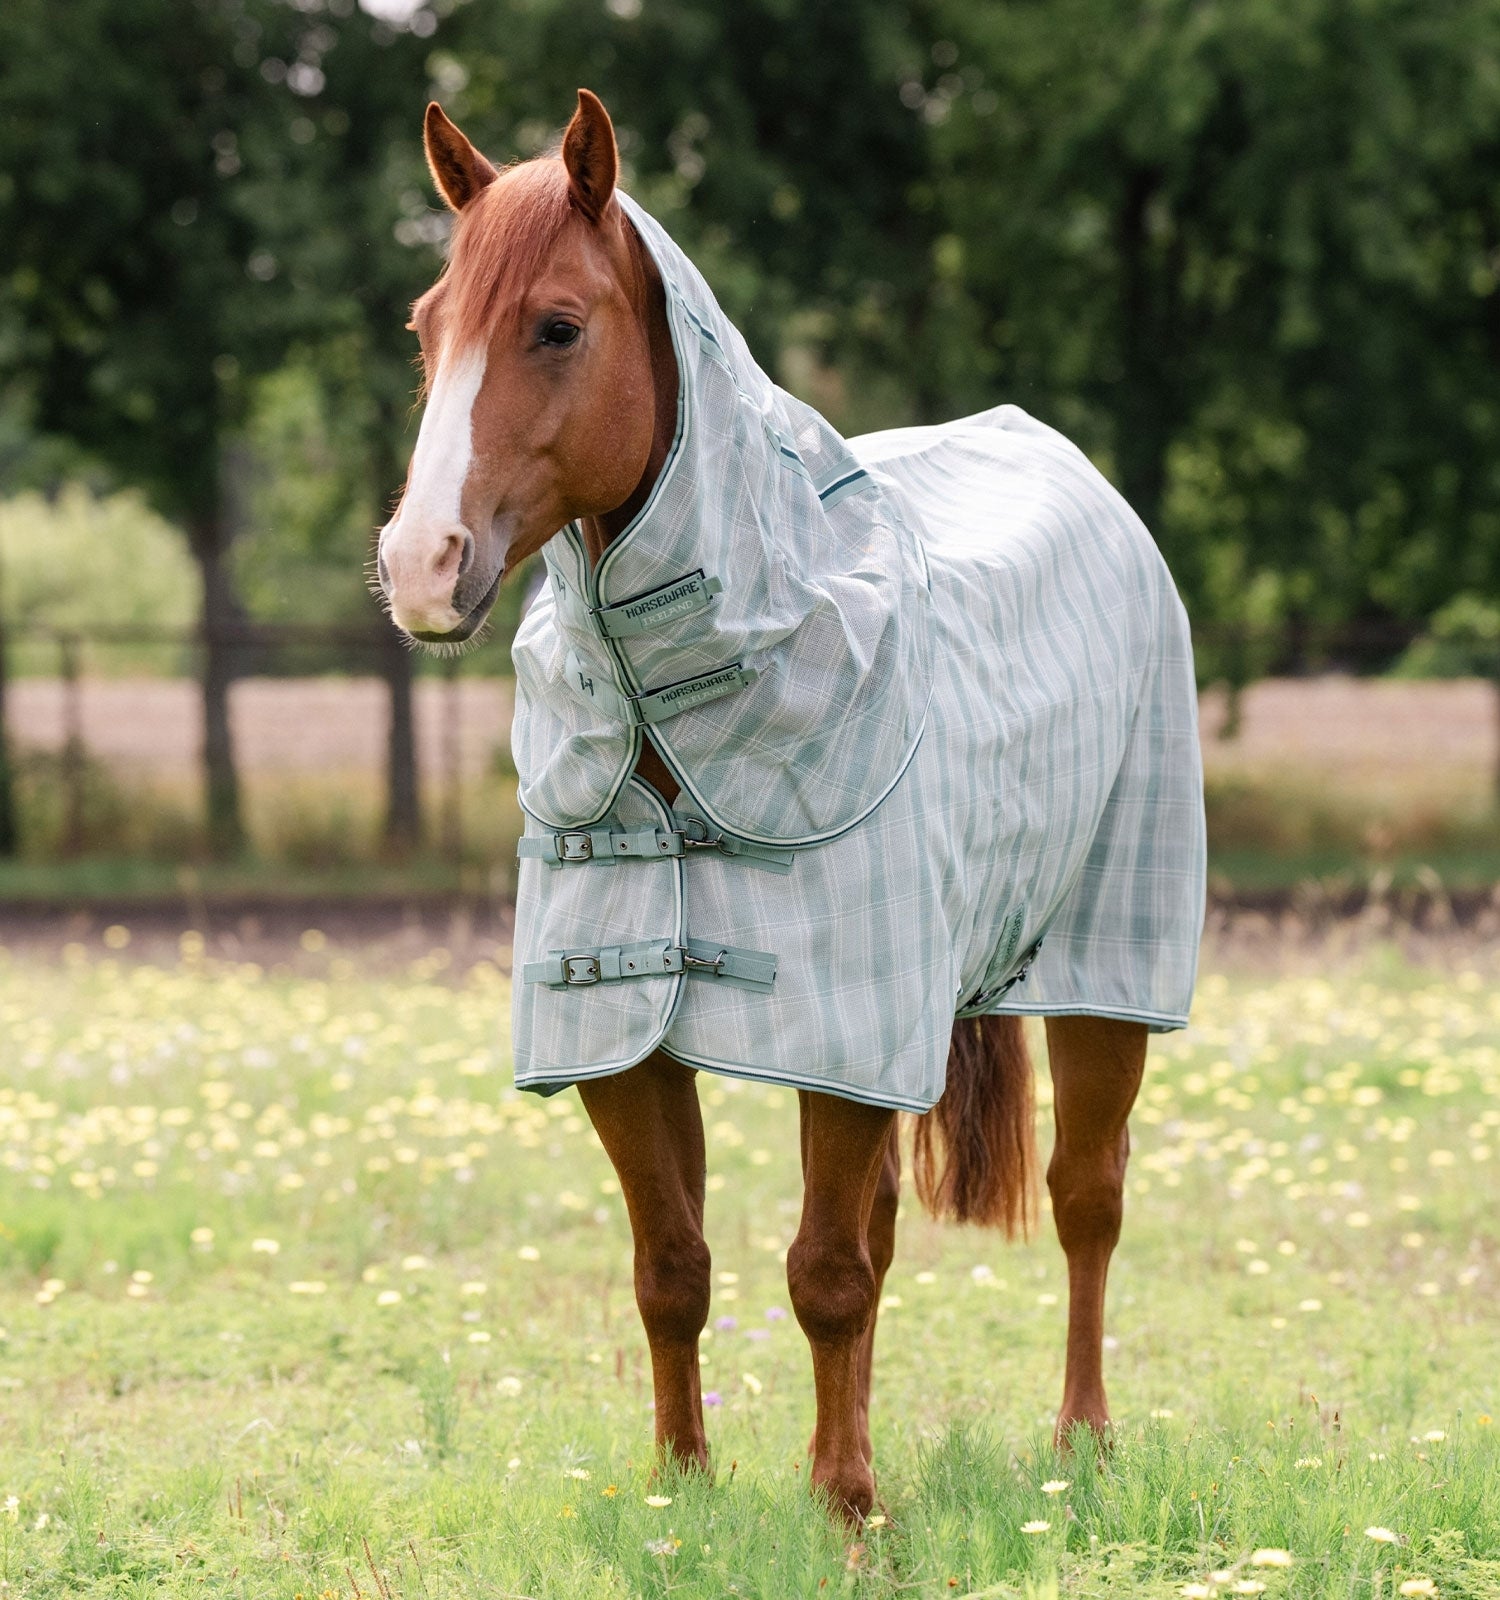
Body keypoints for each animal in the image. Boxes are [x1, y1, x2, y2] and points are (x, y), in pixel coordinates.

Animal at [376, 89, 1205, 1525]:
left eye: (557, 325)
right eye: (427, 328)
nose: (422, 566)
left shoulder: (844, 1038)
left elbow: (822, 1273)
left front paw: (845, 1511)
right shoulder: (632, 1037)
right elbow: (676, 1265)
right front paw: (686, 1489)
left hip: (1108, 973)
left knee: (1085, 1199)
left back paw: (1082, 1440)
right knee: (881, 1233)